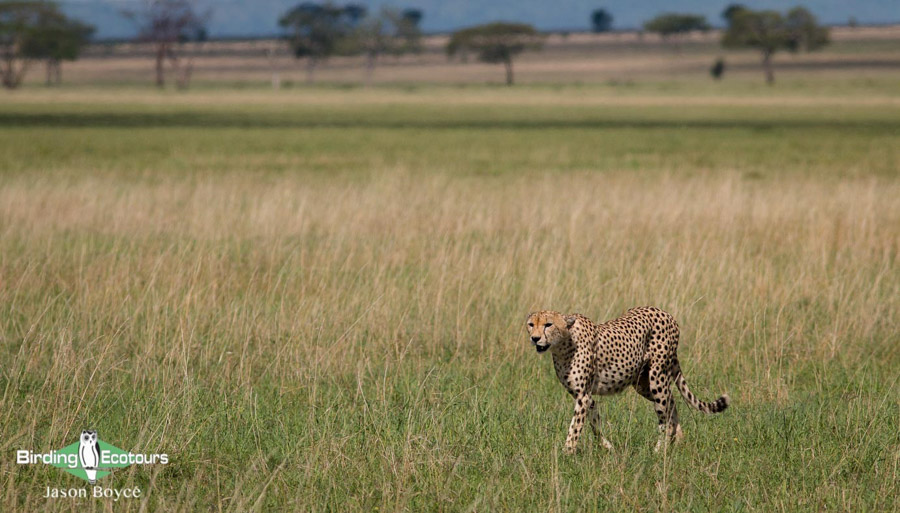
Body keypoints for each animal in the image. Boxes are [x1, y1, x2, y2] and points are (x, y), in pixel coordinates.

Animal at [524, 304, 728, 452]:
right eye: (531, 324)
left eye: (548, 324)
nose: (535, 338)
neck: (563, 344)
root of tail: (665, 312)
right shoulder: (584, 396)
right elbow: (594, 422)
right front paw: (607, 446)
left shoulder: (582, 395)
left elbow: (575, 427)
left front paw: (567, 453)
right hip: (642, 383)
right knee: (671, 402)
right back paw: (677, 440)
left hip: (657, 377)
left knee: (664, 410)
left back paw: (660, 448)